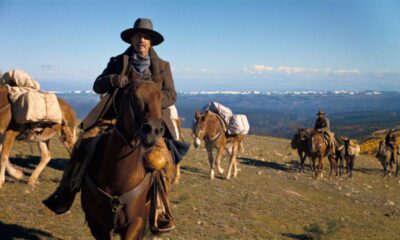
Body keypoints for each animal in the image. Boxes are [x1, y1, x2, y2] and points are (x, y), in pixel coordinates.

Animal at [81, 79, 175, 239]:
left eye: (161, 98)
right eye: (133, 96)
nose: (153, 131)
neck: (117, 178)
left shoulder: (136, 222)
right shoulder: (98, 225)